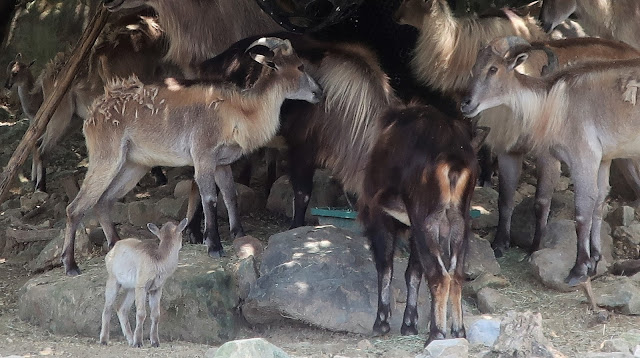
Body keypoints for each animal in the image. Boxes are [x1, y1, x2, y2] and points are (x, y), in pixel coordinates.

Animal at [62, 37, 322, 276]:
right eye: (300, 66)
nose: (318, 92)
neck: (239, 111)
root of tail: (92, 115)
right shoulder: (203, 155)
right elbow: (210, 198)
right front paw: (214, 246)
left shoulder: (221, 163)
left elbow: (230, 195)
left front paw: (238, 233)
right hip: (106, 157)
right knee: (76, 207)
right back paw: (71, 265)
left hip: (133, 164)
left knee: (104, 200)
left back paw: (116, 246)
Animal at [98, 217, 188, 348]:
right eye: (180, 233)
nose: (183, 243)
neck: (158, 261)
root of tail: (110, 252)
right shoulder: (142, 285)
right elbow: (141, 313)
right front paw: (139, 342)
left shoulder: (156, 288)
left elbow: (156, 315)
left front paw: (155, 342)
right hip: (113, 280)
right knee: (107, 308)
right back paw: (104, 340)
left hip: (131, 288)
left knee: (121, 308)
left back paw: (130, 340)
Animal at [360, 104, 480, 344]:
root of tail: (453, 159)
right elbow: (413, 272)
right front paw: (409, 324)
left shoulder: (380, 215)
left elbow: (385, 266)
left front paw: (382, 323)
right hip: (459, 224)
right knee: (456, 275)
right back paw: (458, 332)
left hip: (426, 222)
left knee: (439, 275)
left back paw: (437, 333)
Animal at [460, 36, 640, 286]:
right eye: (474, 67)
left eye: (493, 69)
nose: (466, 104)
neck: (554, 104)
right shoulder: (603, 159)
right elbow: (599, 203)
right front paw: (595, 260)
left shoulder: (581, 157)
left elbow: (582, 210)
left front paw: (578, 269)